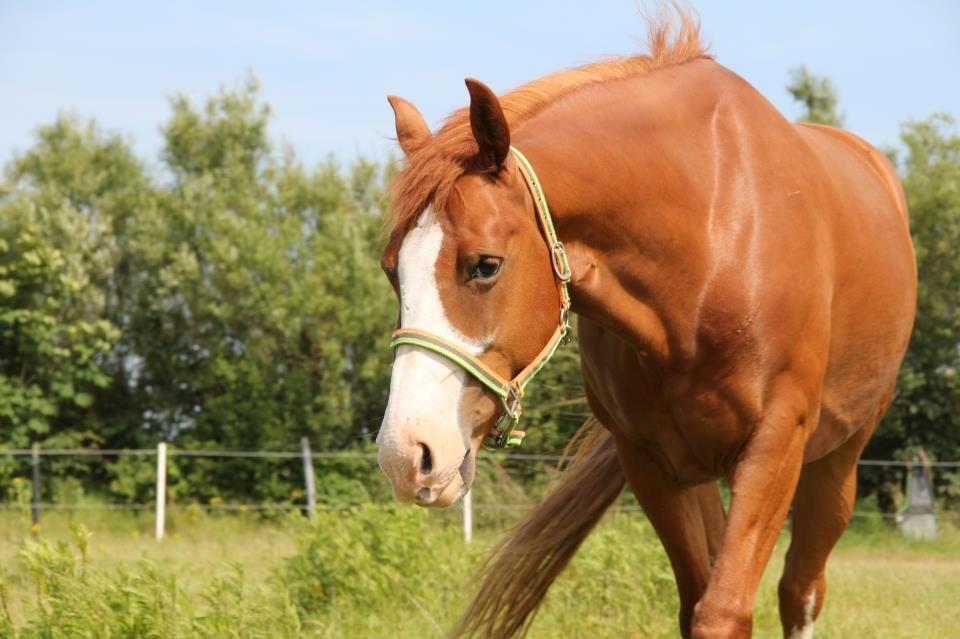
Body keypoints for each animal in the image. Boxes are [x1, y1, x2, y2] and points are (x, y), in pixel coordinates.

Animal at [374, 13, 916, 639]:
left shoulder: (775, 445)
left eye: (485, 265)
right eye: (391, 269)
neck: (713, 240)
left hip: (839, 457)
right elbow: (696, 604)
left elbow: (724, 612)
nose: (406, 453)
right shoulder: (653, 463)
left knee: (800, 590)